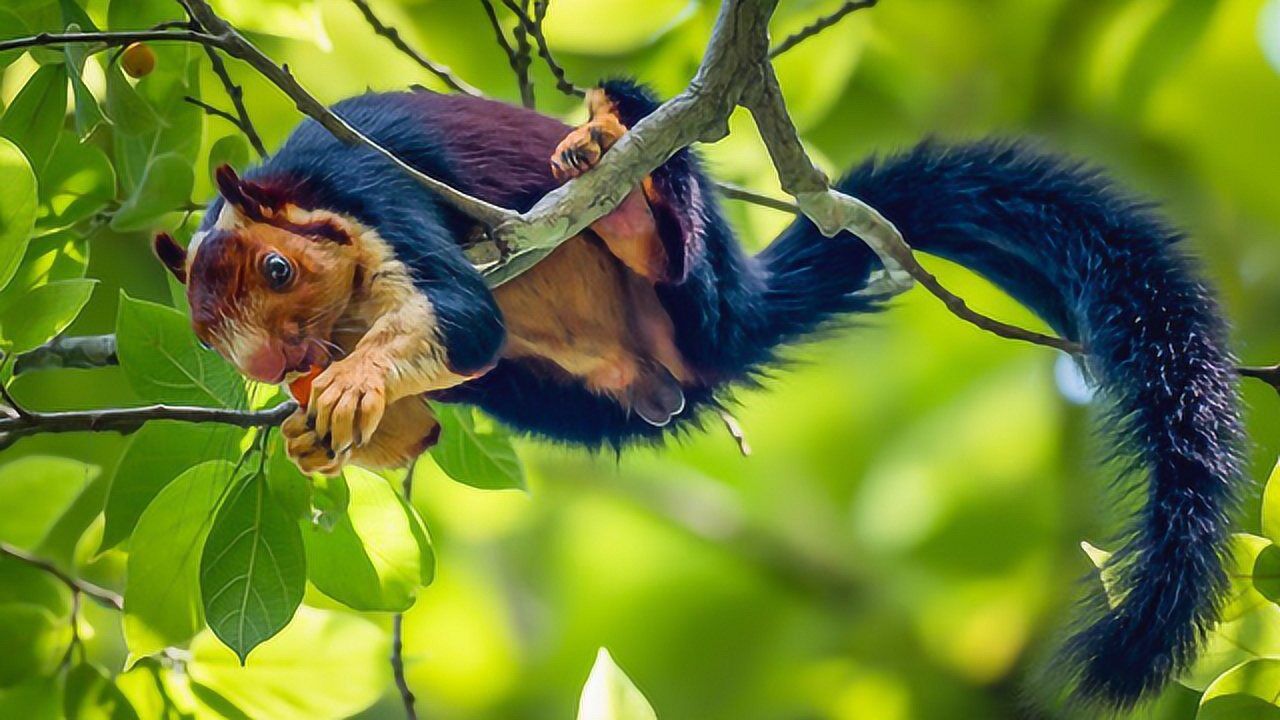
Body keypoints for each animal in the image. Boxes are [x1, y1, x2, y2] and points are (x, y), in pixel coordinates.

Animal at [149, 79, 1239, 707]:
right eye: (222, 344)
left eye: (279, 271)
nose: (284, 359)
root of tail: (735, 313)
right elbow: (423, 408)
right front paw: (316, 431)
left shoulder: (373, 191)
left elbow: (461, 316)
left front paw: (354, 383)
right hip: (561, 397)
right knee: (480, 404)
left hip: (692, 258)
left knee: (649, 205)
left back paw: (618, 179)